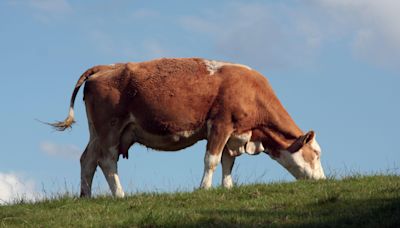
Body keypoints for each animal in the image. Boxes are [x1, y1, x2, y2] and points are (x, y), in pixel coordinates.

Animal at [50, 57, 324, 198]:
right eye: (317, 153)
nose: (323, 180)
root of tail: (105, 68)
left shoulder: (234, 133)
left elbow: (227, 162)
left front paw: (227, 188)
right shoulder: (220, 124)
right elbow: (211, 160)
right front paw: (204, 188)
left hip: (97, 132)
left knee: (87, 160)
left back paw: (86, 196)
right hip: (110, 129)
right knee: (107, 161)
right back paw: (120, 195)